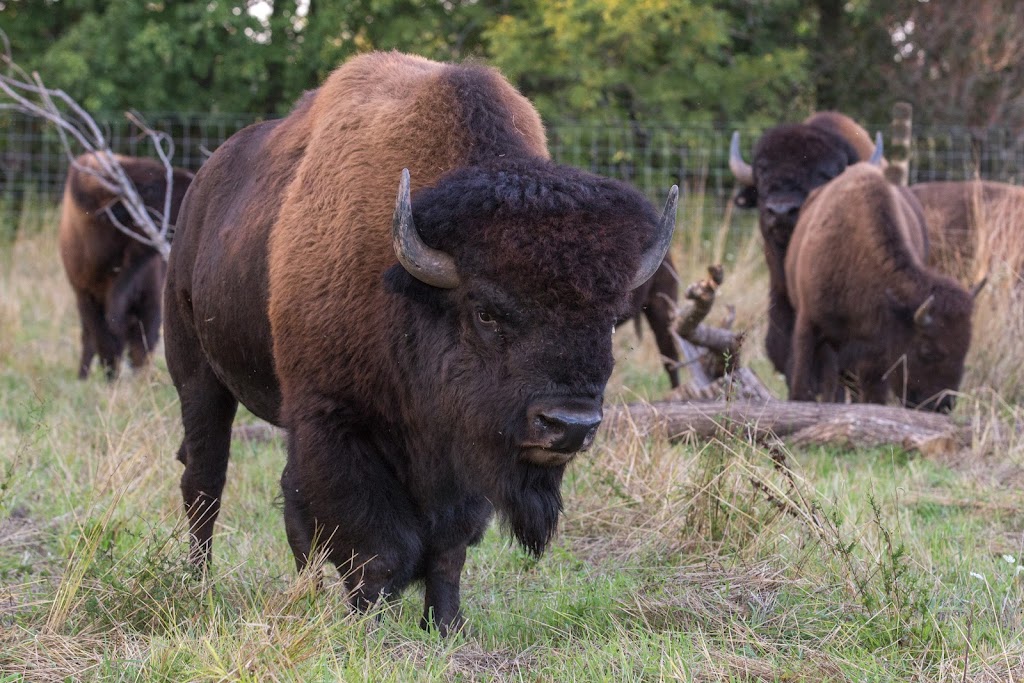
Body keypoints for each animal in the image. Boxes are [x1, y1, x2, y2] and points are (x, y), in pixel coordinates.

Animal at [59, 152, 193, 382]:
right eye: (150, 189)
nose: (193, 179)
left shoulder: (150, 302)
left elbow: (141, 347)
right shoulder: (86, 297)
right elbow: (106, 343)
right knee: (90, 339)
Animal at [165, 53, 679, 634]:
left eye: (611, 319)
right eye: (485, 311)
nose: (569, 425)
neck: (413, 293)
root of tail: (202, 188)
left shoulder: (462, 448)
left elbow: (448, 546)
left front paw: (446, 624)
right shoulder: (336, 421)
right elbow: (377, 545)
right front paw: (369, 625)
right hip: (196, 374)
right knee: (205, 481)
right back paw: (200, 584)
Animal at [782, 162, 974, 413]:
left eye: (964, 351)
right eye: (927, 350)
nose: (942, 406)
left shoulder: (876, 356)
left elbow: (873, 396)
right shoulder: (808, 324)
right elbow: (801, 385)